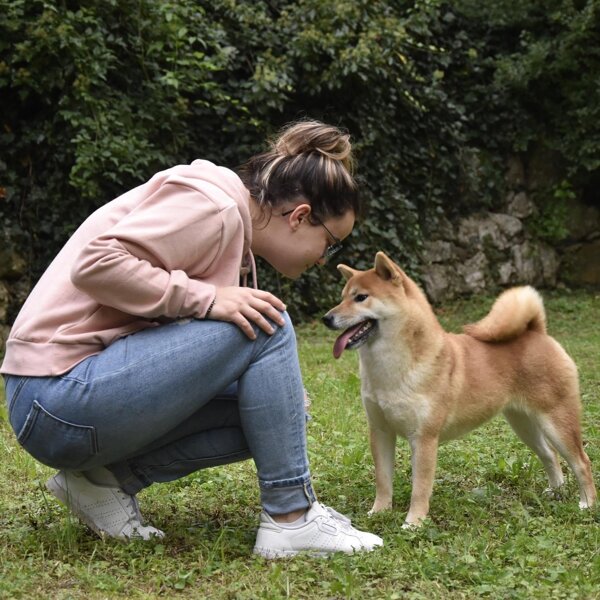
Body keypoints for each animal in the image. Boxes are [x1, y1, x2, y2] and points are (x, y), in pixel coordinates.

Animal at [322, 251, 596, 527]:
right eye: (342, 297)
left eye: (361, 297)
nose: (326, 318)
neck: (391, 367)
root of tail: (537, 331)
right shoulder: (381, 431)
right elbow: (383, 480)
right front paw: (379, 512)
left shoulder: (424, 438)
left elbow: (420, 488)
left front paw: (413, 523)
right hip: (524, 424)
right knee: (550, 454)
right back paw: (556, 491)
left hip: (556, 421)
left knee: (581, 462)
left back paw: (587, 504)